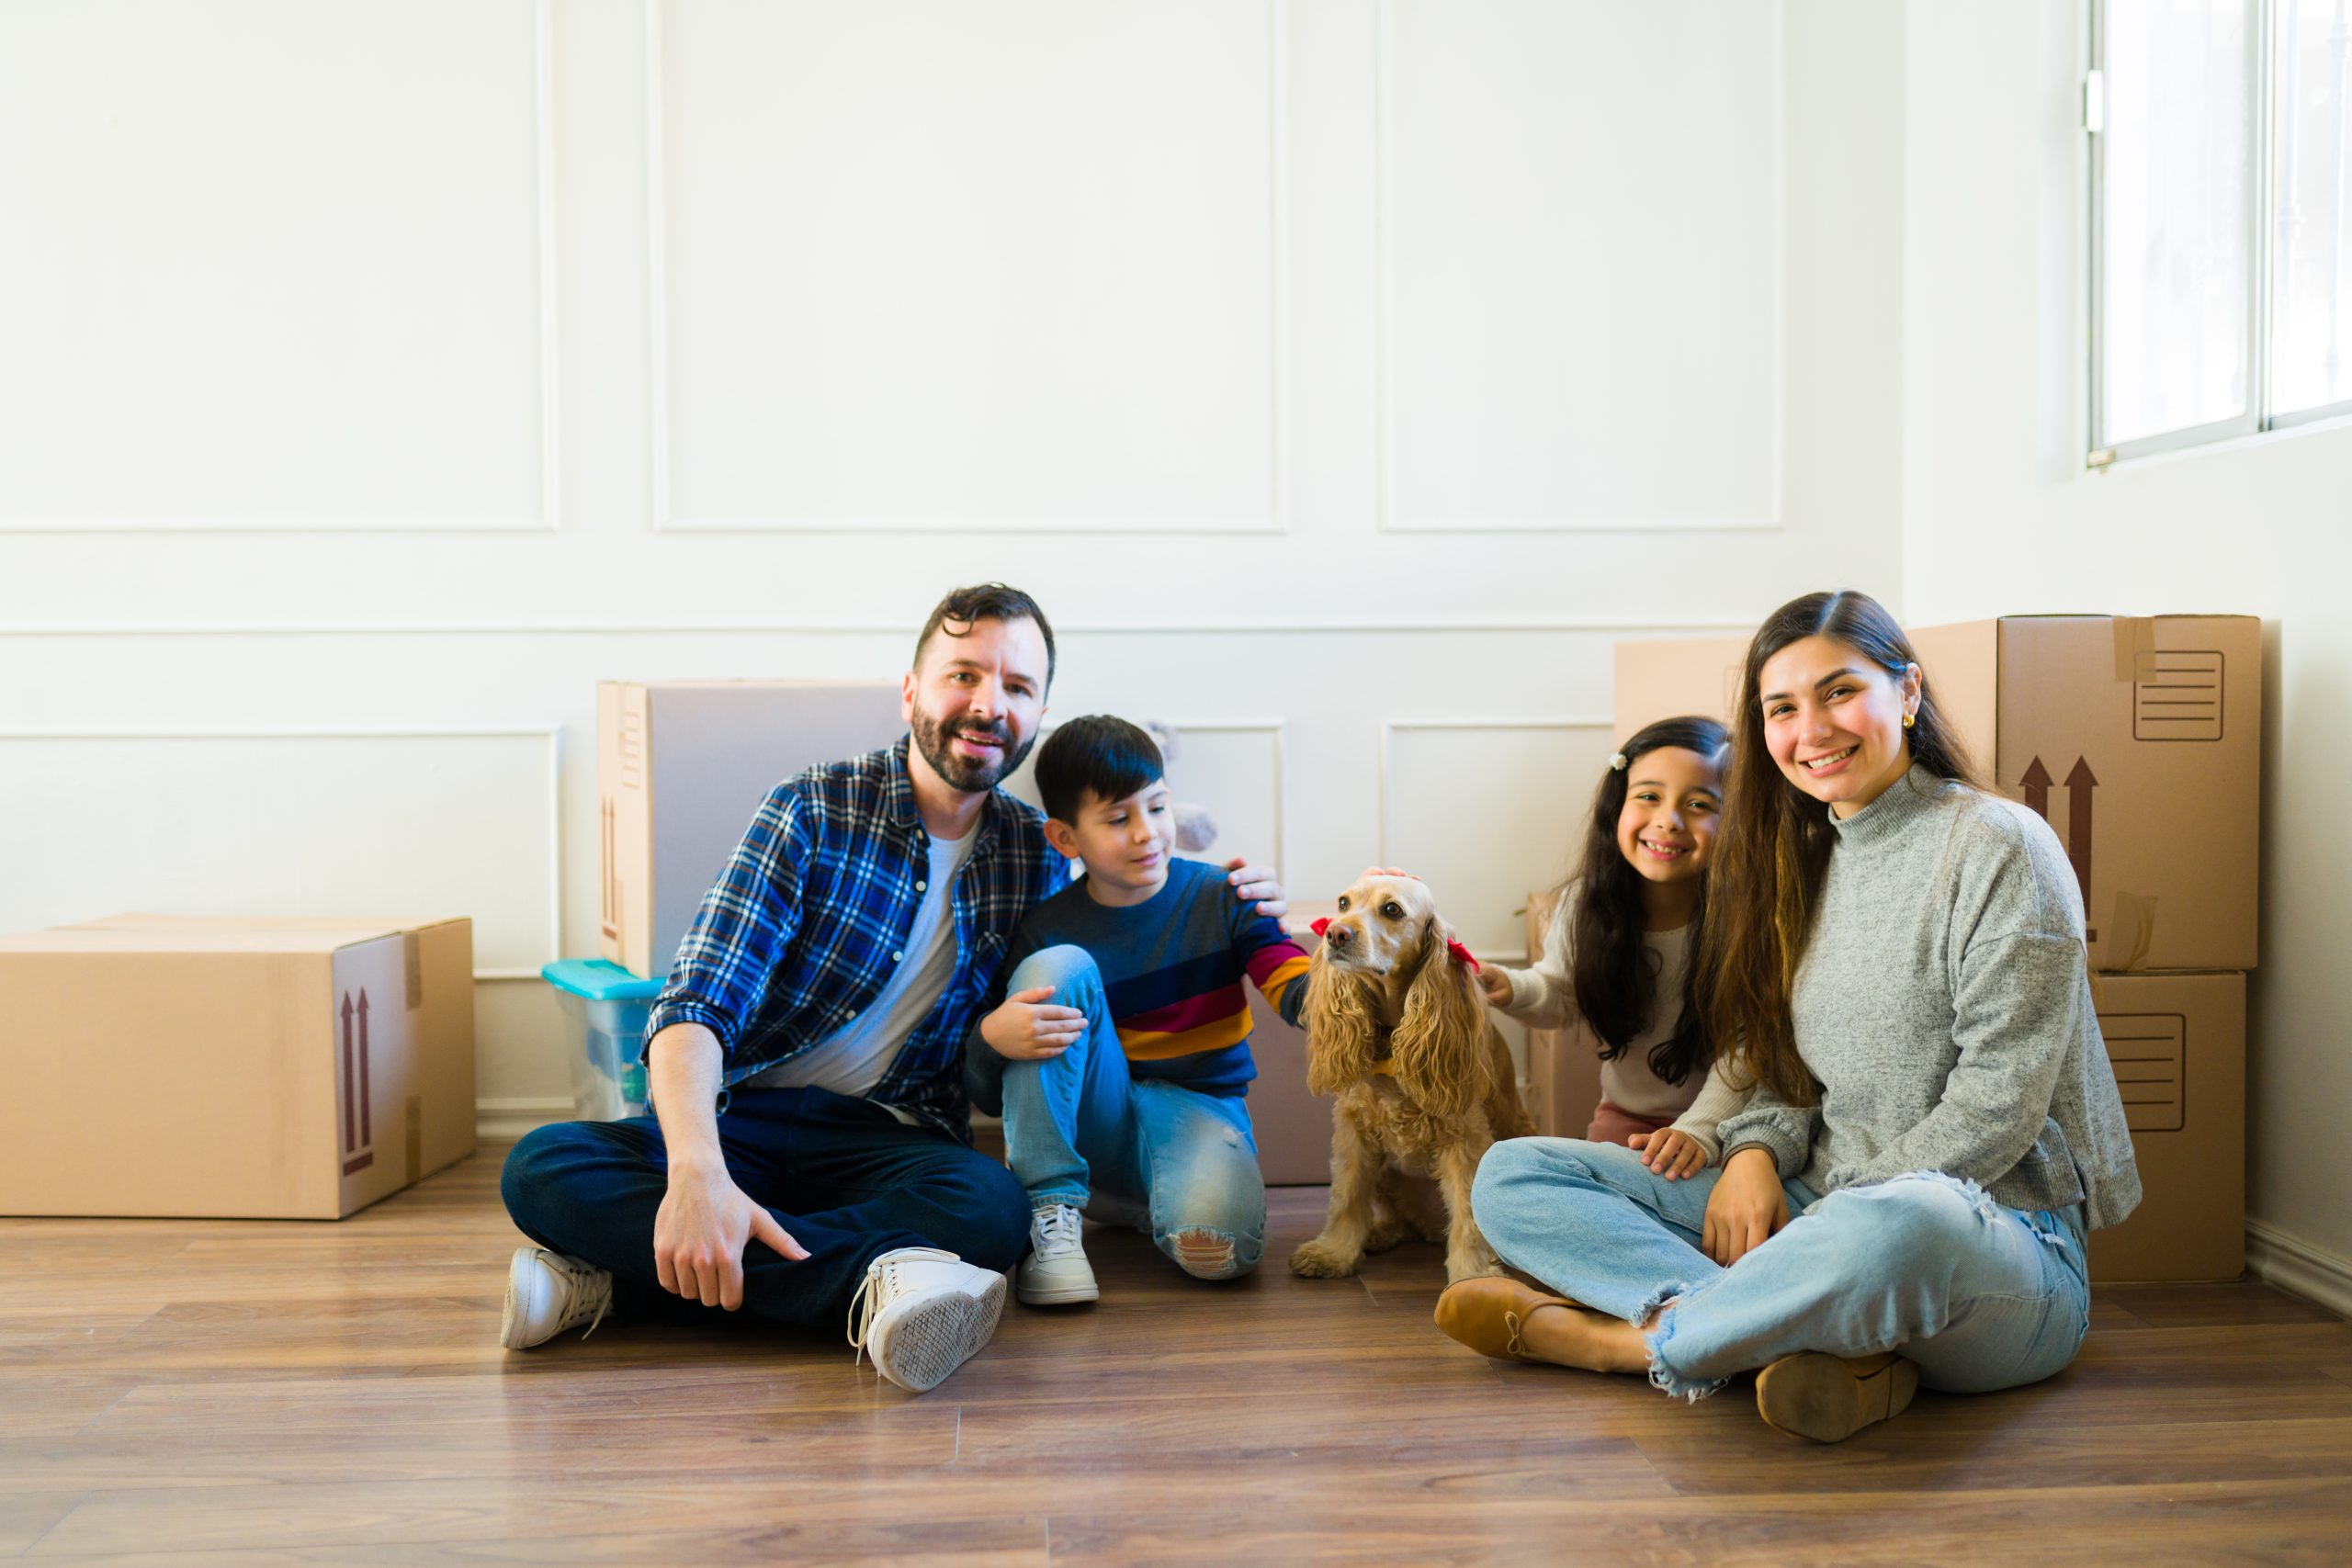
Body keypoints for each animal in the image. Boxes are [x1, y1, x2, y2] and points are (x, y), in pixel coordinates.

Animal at [1288, 869, 1523, 1288]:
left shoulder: (1464, 1138)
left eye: (1392, 910)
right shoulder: (1354, 1132)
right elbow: (1346, 1196)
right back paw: (1379, 1233)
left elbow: (1468, 1213)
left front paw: (1472, 1279)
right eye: (1343, 903)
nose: (1334, 934)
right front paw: (1333, 1253)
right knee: (1400, 1220)